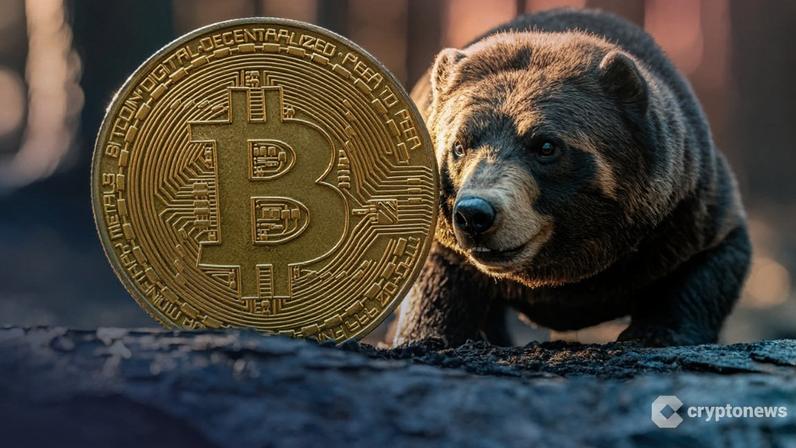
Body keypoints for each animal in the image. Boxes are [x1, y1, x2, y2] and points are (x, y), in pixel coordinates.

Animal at [393, 8, 751, 347]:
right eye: (459, 145)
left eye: (545, 145)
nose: (475, 214)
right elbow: (439, 279)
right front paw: (427, 334)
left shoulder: (684, 209)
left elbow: (708, 264)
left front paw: (657, 331)